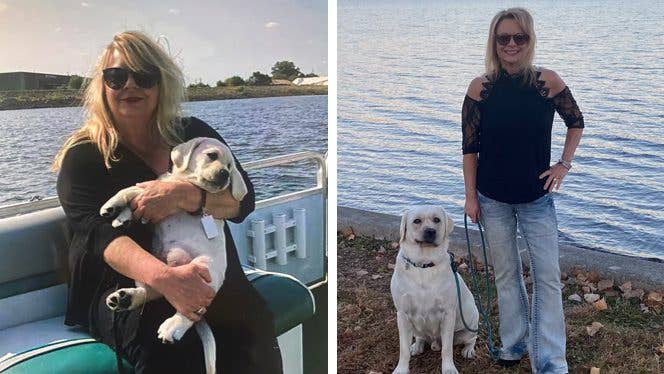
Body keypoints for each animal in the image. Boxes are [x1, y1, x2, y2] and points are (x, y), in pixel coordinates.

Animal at [97, 137, 245, 374]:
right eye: (212, 155)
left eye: (231, 167)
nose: (224, 174)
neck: (184, 179)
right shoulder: (151, 189)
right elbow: (132, 190)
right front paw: (121, 216)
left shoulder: (159, 192)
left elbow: (132, 189)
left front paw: (112, 205)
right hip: (152, 266)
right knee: (153, 290)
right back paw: (125, 298)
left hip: (203, 269)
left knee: (188, 310)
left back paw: (172, 326)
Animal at [390, 206, 478, 374]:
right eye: (417, 221)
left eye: (437, 219)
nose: (430, 231)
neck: (424, 265)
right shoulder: (403, 314)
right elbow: (403, 349)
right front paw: (401, 369)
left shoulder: (448, 314)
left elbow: (447, 349)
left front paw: (449, 368)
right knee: (420, 337)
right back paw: (417, 346)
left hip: (470, 322)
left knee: (471, 338)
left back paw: (468, 349)